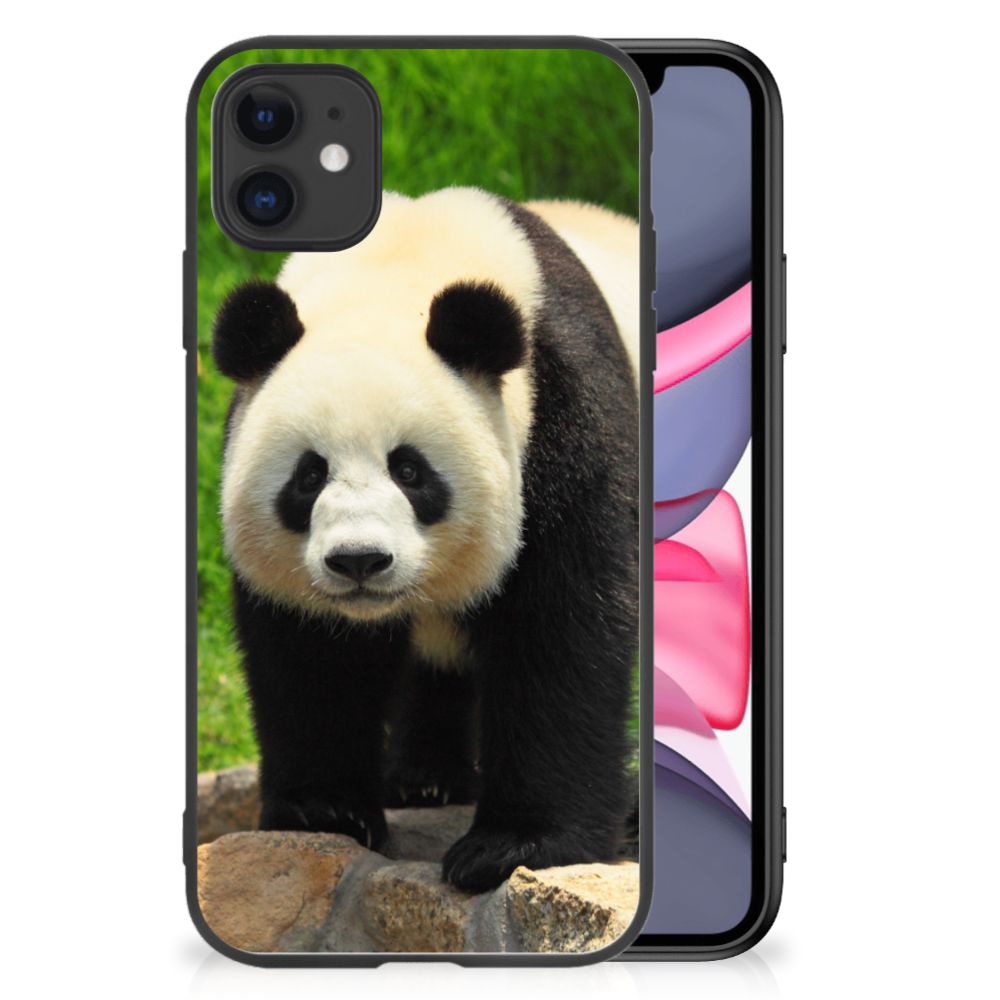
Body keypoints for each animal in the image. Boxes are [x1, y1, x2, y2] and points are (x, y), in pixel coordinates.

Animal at [212, 187, 640, 893]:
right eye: (309, 475)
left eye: (410, 471)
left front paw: (513, 845)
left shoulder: (566, 418)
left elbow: (562, 628)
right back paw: (424, 779)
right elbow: (310, 654)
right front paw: (324, 810)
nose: (359, 561)